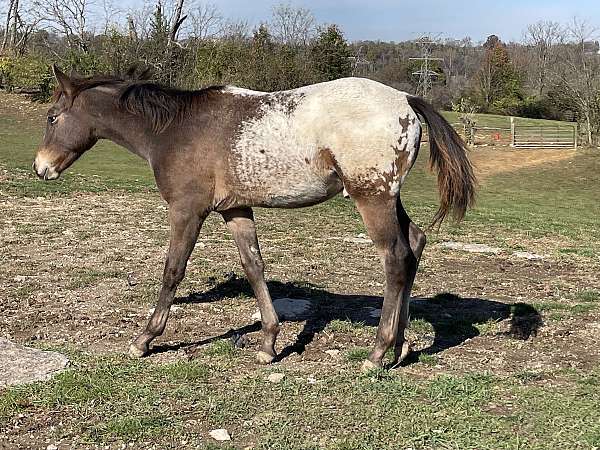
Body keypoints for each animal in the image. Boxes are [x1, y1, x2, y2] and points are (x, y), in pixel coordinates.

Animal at [32, 66, 476, 370]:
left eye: (52, 116)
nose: (40, 168)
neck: (176, 129)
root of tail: (405, 99)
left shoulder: (187, 210)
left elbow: (173, 270)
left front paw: (145, 339)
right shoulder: (235, 210)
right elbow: (254, 266)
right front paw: (268, 343)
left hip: (372, 198)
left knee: (396, 258)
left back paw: (378, 351)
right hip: (387, 196)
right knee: (415, 242)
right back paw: (401, 346)